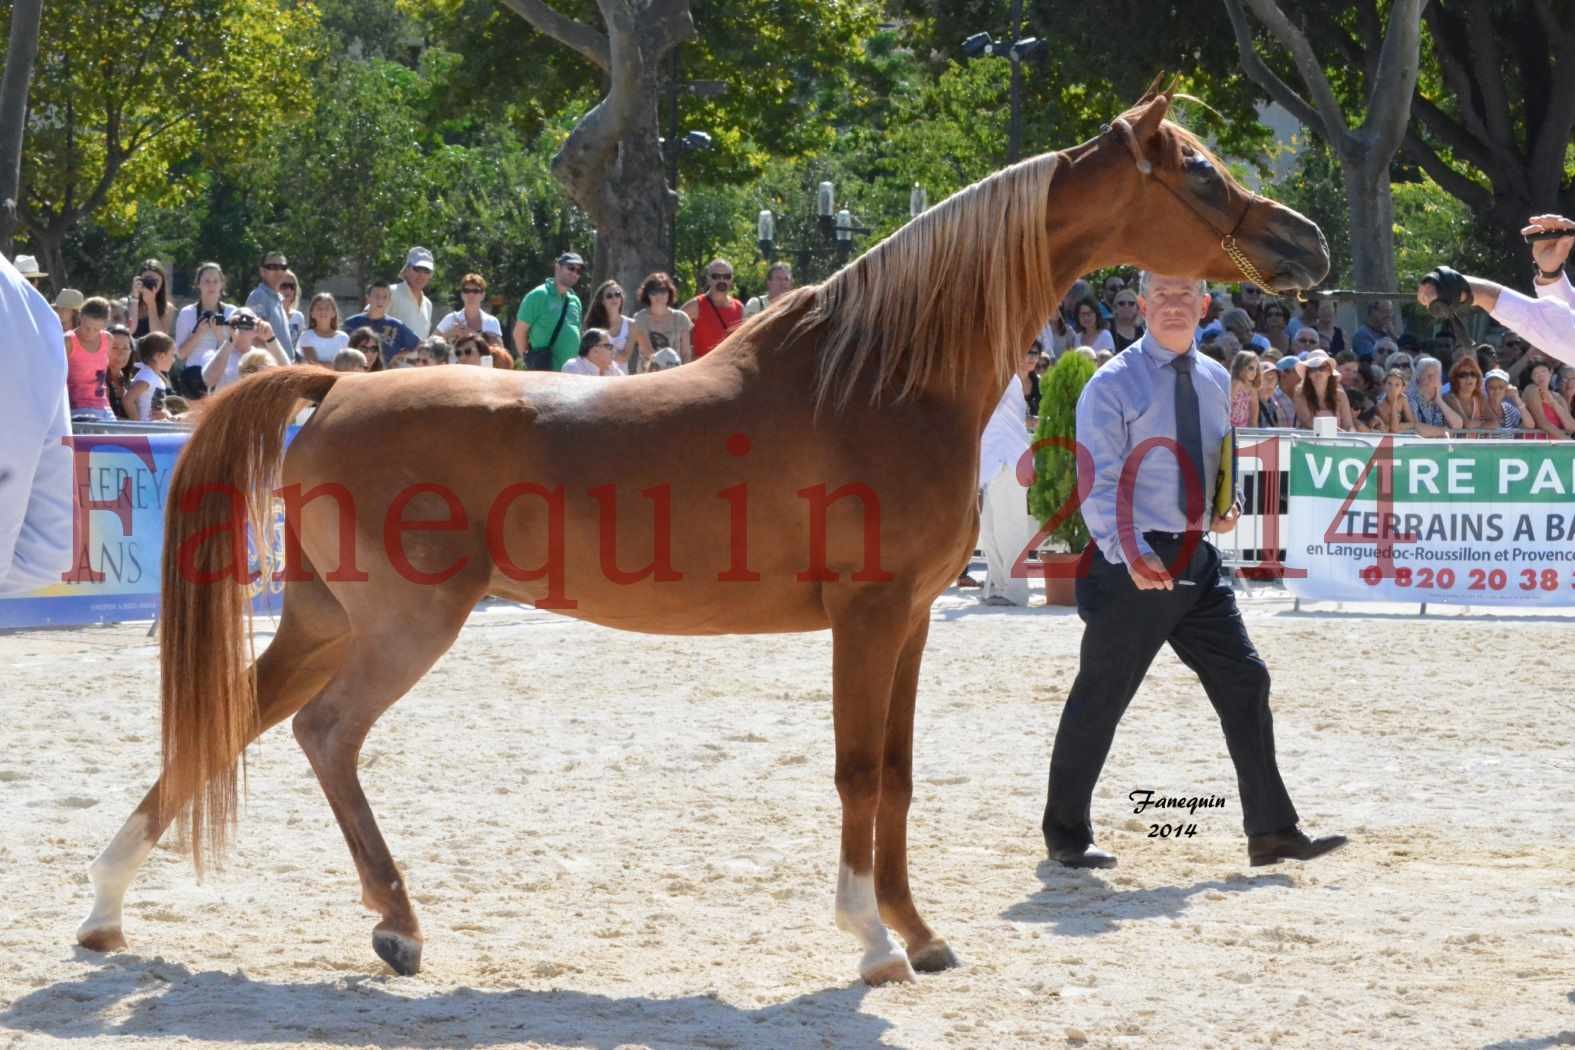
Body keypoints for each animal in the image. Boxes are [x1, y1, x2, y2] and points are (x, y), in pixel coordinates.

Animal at [76, 94, 1329, 988]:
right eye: (1200, 171)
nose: (1306, 241)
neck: (879, 376)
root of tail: (335, 386)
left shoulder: (915, 621)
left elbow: (898, 776)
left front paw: (917, 933)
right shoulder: (868, 618)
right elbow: (858, 771)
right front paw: (873, 939)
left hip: (324, 621)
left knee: (229, 720)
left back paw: (107, 909)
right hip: (400, 628)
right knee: (325, 735)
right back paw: (395, 924)